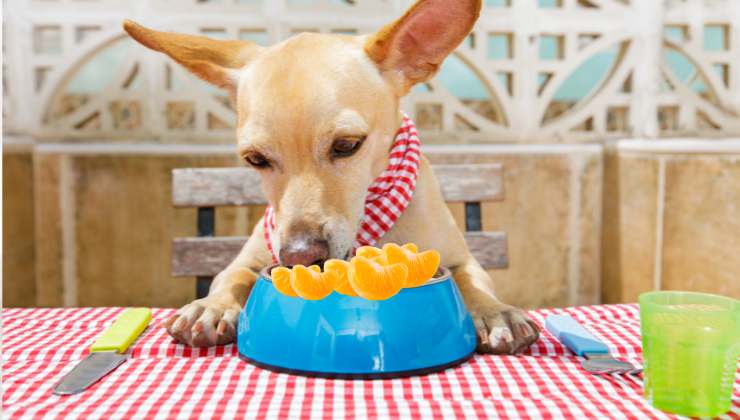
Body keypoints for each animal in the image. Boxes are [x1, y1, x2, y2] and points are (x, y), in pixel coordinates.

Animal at [124, 0, 540, 354]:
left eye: (347, 145)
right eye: (255, 159)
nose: (299, 256)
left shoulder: (462, 259)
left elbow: (471, 281)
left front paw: (493, 311)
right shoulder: (247, 258)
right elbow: (234, 276)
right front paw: (211, 305)